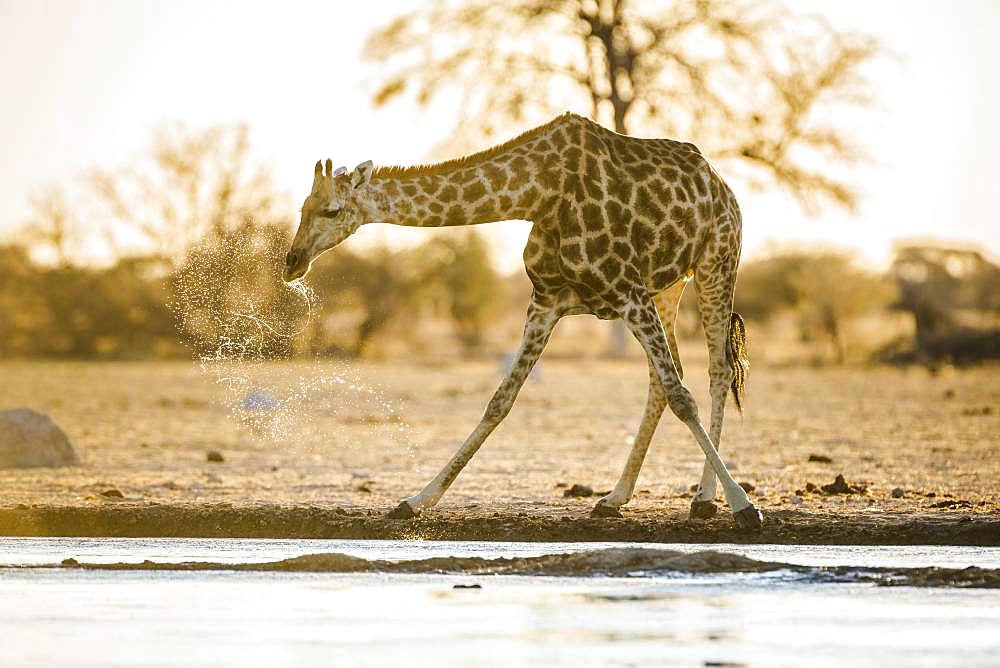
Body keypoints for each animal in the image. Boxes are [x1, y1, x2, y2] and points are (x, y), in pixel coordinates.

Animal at [286, 112, 760, 528]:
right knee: (663, 378)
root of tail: (724, 187)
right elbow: (500, 400)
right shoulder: (546, 301)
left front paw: (744, 507)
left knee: (715, 371)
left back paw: (705, 499)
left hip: (716, 263)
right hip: (667, 288)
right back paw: (614, 498)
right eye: (301, 207)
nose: (292, 262)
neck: (539, 195)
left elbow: (684, 398)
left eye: (331, 210)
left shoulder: (627, 291)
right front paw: (415, 501)